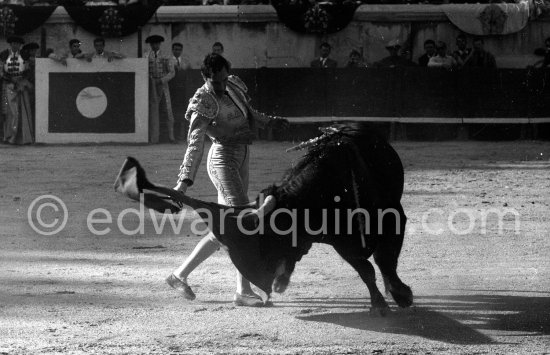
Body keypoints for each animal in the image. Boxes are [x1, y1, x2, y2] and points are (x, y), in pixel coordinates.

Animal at [115, 124, 414, 316]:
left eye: (270, 236)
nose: (266, 276)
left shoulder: (394, 218)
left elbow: (385, 261)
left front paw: (399, 294)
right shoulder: (340, 242)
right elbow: (366, 268)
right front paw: (380, 302)